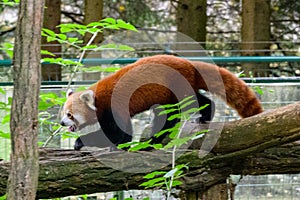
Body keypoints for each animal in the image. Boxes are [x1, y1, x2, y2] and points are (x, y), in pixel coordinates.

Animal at [61, 54, 262, 150]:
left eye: (70, 114)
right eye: (62, 113)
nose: (62, 123)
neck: (99, 97)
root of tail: (188, 63)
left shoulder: (114, 106)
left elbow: (121, 134)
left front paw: (82, 142)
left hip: (177, 86)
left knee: (195, 101)